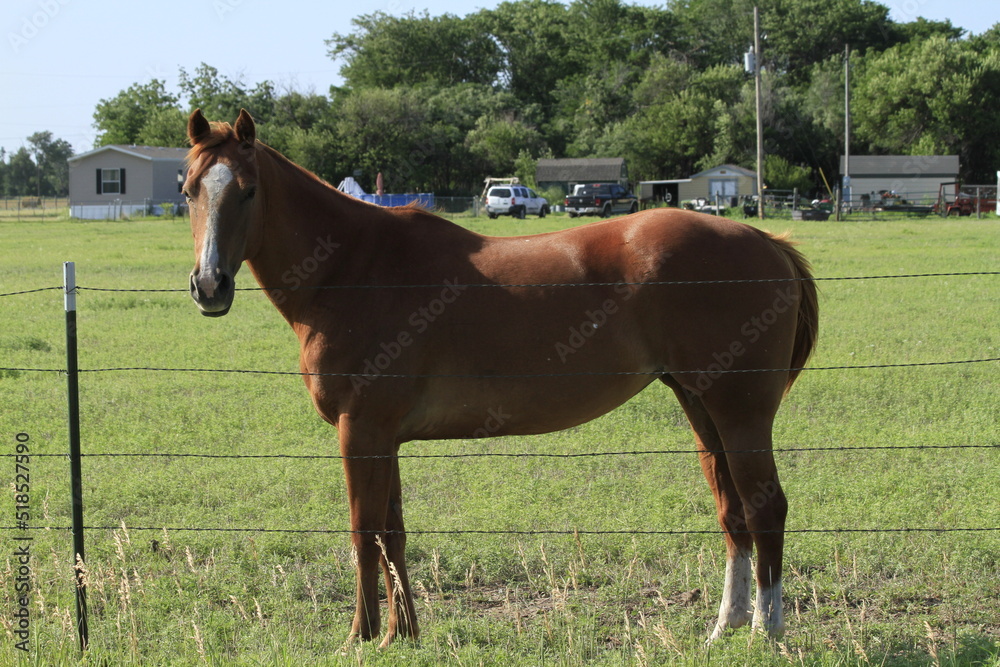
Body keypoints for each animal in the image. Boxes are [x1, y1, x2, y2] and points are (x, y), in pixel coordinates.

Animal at [183, 109, 818, 647]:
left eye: (248, 189)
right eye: (190, 190)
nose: (209, 285)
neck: (354, 269)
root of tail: (766, 242)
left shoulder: (359, 431)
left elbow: (364, 532)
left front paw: (360, 638)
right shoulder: (384, 437)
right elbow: (393, 533)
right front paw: (402, 635)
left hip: (741, 412)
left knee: (765, 510)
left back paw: (766, 631)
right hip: (701, 405)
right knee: (732, 513)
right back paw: (725, 627)